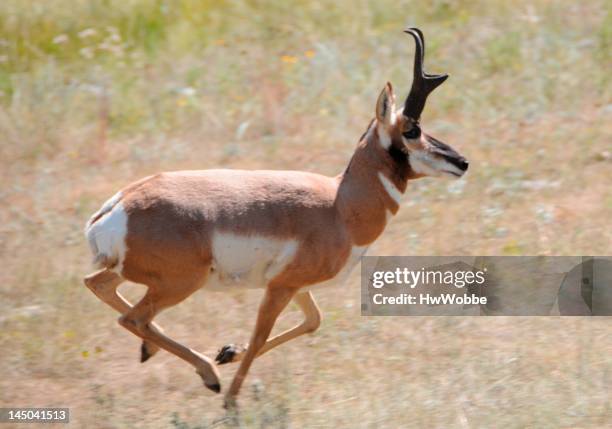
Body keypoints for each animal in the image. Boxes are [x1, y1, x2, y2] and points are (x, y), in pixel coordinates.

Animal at [82, 27, 468, 404]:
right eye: (411, 130)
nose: (462, 162)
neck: (339, 203)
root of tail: (119, 205)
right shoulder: (280, 287)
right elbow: (260, 336)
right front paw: (230, 401)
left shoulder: (296, 286)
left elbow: (312, 322)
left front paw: (227, 352)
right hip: (181, 283)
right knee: (132, 317)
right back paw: (209, 377)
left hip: (142, 277)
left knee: (100, 286)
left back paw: (171, 357)